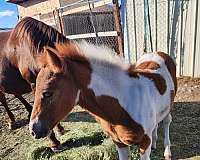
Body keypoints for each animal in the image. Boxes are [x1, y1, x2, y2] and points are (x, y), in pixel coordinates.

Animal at [0, 17, 69, 151]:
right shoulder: (34, 84)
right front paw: (54, 142)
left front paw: (59, 129)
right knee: (4, 101)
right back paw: (12, 121)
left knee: (16, 94)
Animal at [28, 41, 176, 160]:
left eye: (48, 93)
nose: (33, 131)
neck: (126, 102)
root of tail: (158, 52)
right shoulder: (119, 143)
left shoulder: (144, 142)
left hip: (169, 105)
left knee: (167, 122)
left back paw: (167, 152)